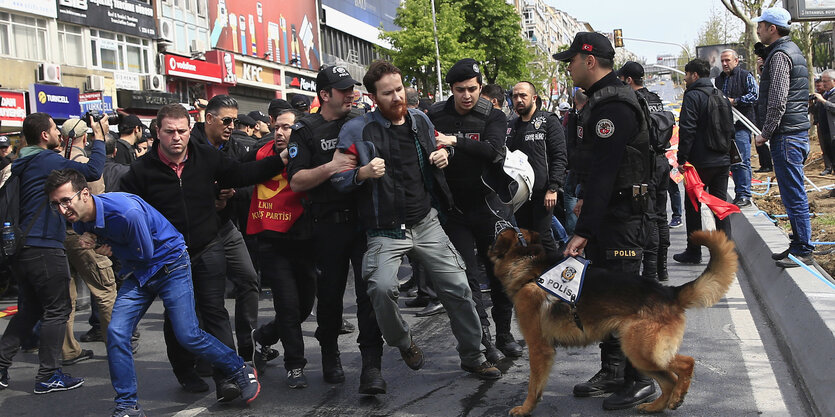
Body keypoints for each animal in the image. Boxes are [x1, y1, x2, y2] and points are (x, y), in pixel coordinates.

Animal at [490, 229, 740, 414]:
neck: (527, 264)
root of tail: (669, 292)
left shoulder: (538, 347)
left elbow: (533, 385)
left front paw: (525, 409)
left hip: (642, 351)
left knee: (686, 363)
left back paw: (677, 396)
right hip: (640, 354)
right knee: (669, 379)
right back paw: (656, 406)